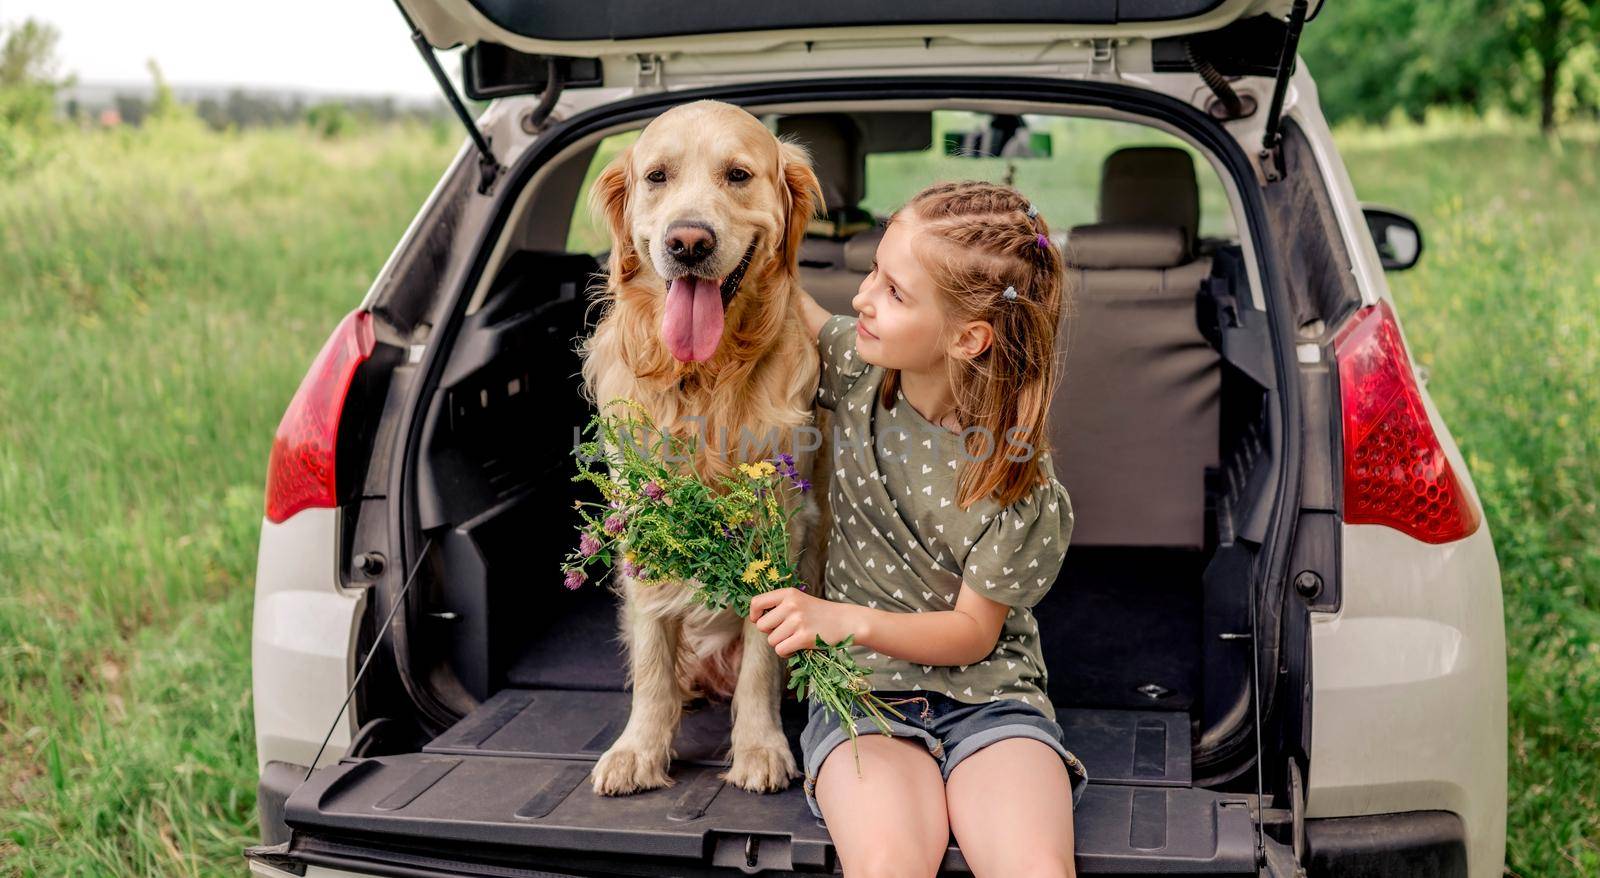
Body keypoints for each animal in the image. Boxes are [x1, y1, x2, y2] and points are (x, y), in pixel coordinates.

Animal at [579, 101, 838, 793]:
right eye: (657, 177)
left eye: (738, 175)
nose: (687, 242)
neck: (705, 377)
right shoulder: (641, 513)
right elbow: (651, 655)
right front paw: (639, 749)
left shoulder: (778, 520)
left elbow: (761, 653)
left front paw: (759, 747)